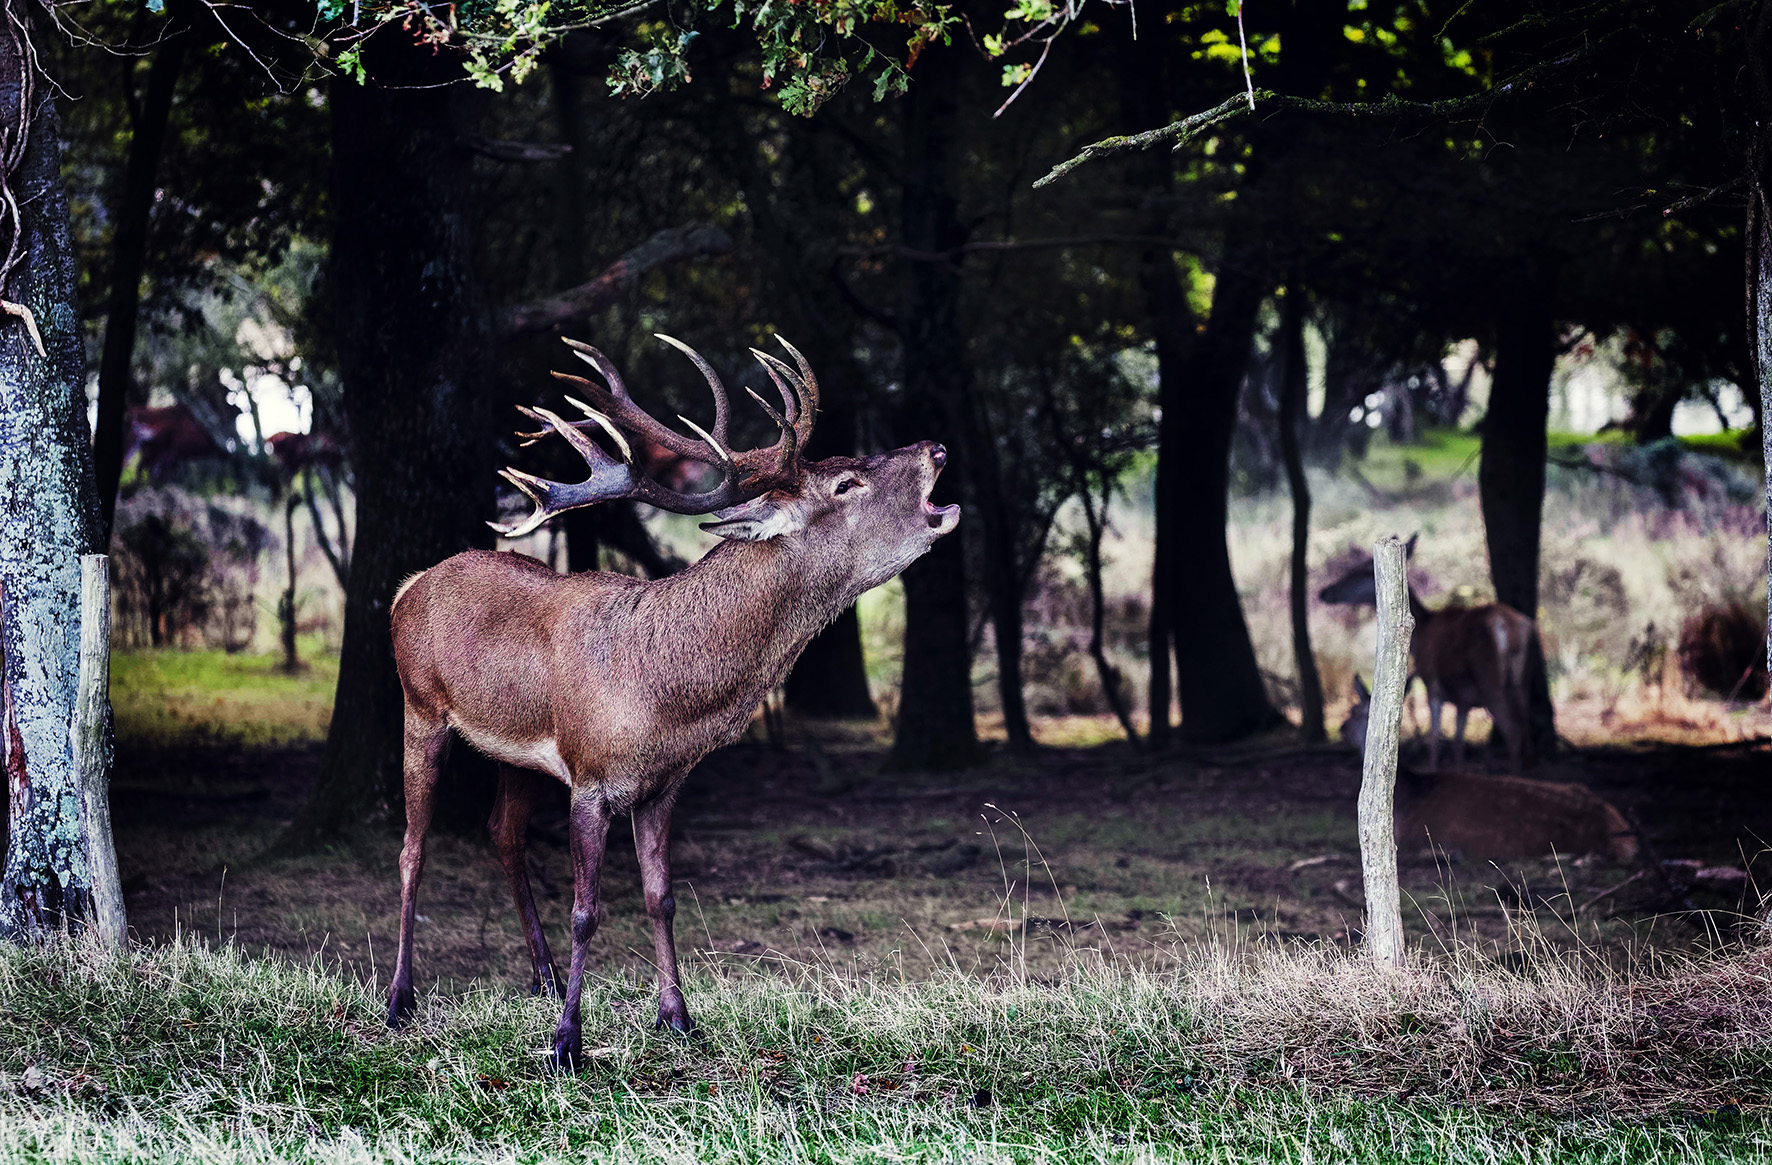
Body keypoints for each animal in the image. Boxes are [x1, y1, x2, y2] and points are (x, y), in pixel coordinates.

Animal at [389, 333, 963, 1063]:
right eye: (846, 482)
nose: (936, 447)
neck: (666, 699)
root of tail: (408, 586)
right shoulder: (591, 777)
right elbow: (587, 909)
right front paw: (567, 1044)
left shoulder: (661, 785)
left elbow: (661, 896)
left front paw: (678, 1016)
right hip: (420, 706)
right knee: (412, 847)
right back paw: (400, 998)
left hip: (514, 752)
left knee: (503, 832)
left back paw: (541, 976)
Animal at [1318, 535, 1538, 773]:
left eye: (1363, 570)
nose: (1325, 592)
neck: (1422, 630)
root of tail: (1511, 625)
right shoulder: (1463, 700)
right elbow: (1458, 743)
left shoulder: (1432, 684)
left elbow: (1434, 737)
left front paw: (1434, 770)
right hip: (1522, 683)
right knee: (1525, 728)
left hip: (1490, 680)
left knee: (1513, 731)